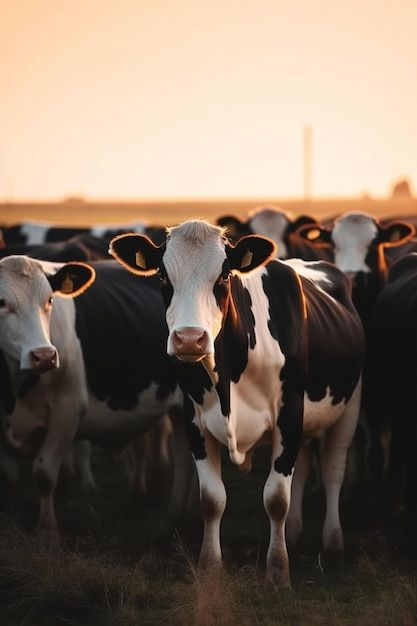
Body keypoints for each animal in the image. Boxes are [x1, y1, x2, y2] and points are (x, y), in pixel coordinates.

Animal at [1, 256, 190, 544]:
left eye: (50, 300)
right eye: (1, 303)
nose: (44, 356)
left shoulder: (67, 408)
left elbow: (44, 473)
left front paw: (48, 533)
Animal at [110, 219, 364, 584]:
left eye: (224, 275)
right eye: (162, 276)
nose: (189, 338)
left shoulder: (290, 413)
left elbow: (276, 498)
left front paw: (278, 572)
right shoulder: (194, 420)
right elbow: (212, 499)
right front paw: (209, 568)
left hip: (349, 406)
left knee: (332, 469)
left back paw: (332, 544)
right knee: (303, 467)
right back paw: (295, 534)